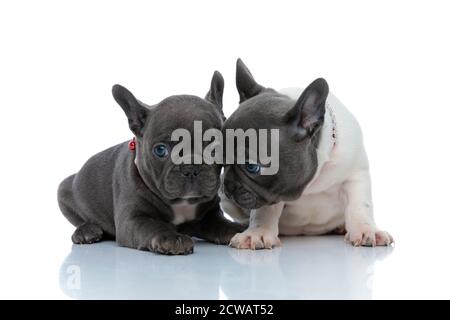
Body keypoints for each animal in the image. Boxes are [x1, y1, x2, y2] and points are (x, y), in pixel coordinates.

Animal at [59, 72, 246, 255]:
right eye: (160, 150)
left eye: (216, 147)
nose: (190, 167)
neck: (181, 204)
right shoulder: (132, 219)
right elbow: (151, 225)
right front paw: (171, 237)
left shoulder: (209, 215)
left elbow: (221, 224)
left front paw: (238, 230)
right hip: (64, 189)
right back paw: (86, 231)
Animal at [221, 60, 394, 250]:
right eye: (220, 159)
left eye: (251, 166)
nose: (228, 185)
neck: (313, 181)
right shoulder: (271, 192)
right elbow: (264, 211)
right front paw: (257, 232)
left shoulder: (356, 175)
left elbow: (360, 205)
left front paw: (366, 230)